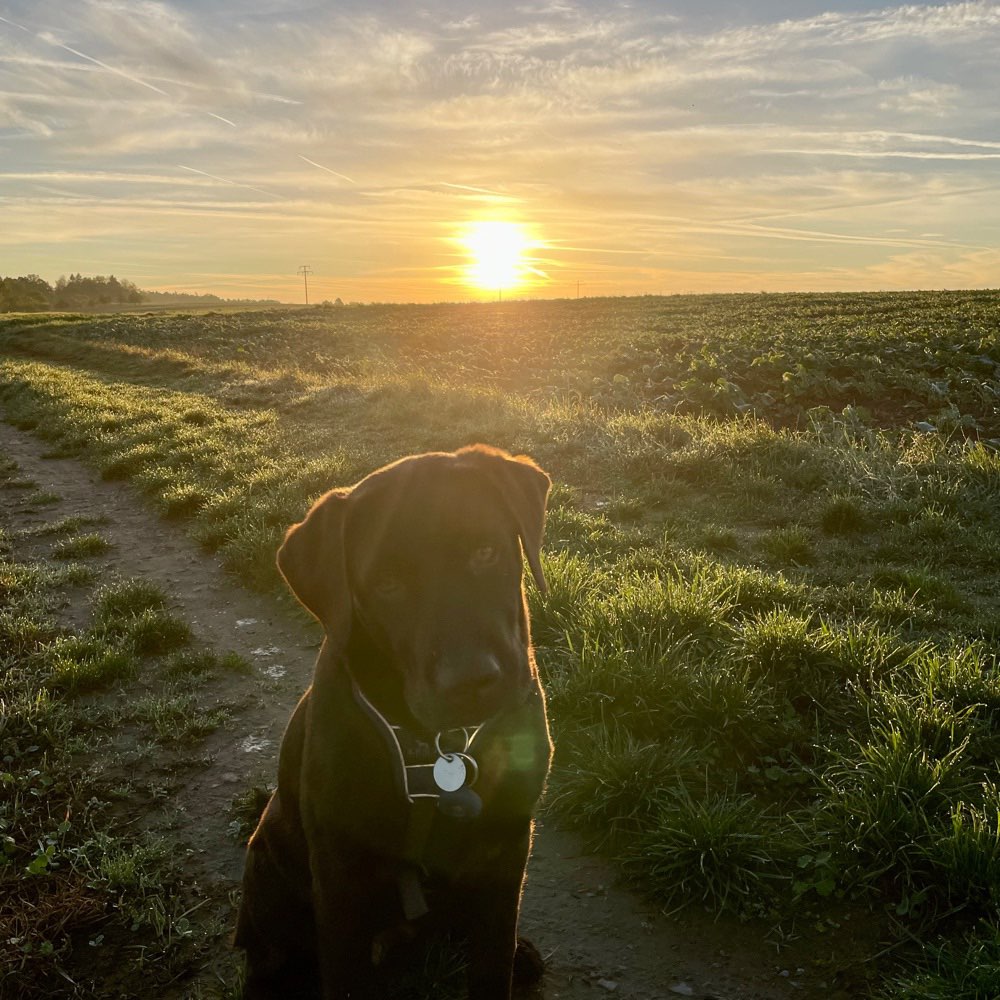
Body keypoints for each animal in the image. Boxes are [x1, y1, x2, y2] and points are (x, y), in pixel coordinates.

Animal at [236, 446, 556, 1000]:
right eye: (387, 585)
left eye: (486, 552)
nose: (471, 680)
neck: (435, 749)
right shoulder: (340, 877)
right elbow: (342, 974)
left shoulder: (507, 846)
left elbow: (493, 960)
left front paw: (508, 956)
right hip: (268, 865)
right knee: (267, 953)